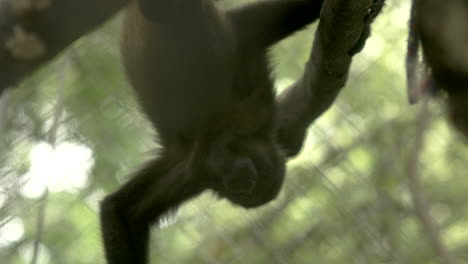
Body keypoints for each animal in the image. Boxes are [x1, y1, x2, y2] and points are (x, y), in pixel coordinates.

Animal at [100, 0, 324, 264]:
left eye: (248, 192)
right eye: (257, 174)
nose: (243, 182)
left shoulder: (192, 172)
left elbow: (122, 211)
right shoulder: (256, 112)